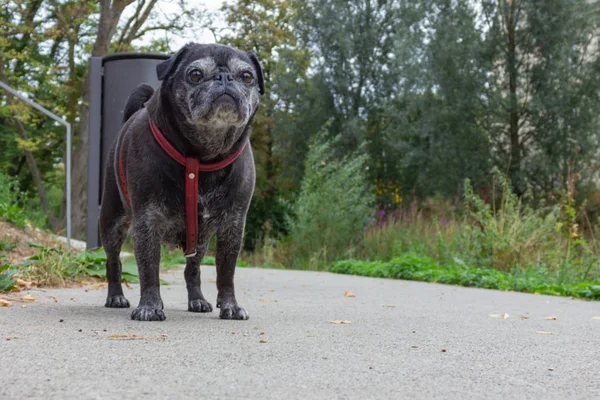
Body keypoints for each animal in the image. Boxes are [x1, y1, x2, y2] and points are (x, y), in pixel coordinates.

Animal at [99, 42, 264, 320]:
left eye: (246, 76)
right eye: (195, 74)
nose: (224, 77)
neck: (201, 157)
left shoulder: (232, 225)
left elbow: (226, 272)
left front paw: (230, 305)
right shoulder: (147, 221)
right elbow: (149, 269)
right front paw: (150, 306)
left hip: (199, 241)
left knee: (192, 270)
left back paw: (197, 300)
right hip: (113, 223)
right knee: (114, 262)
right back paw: (116, 296)